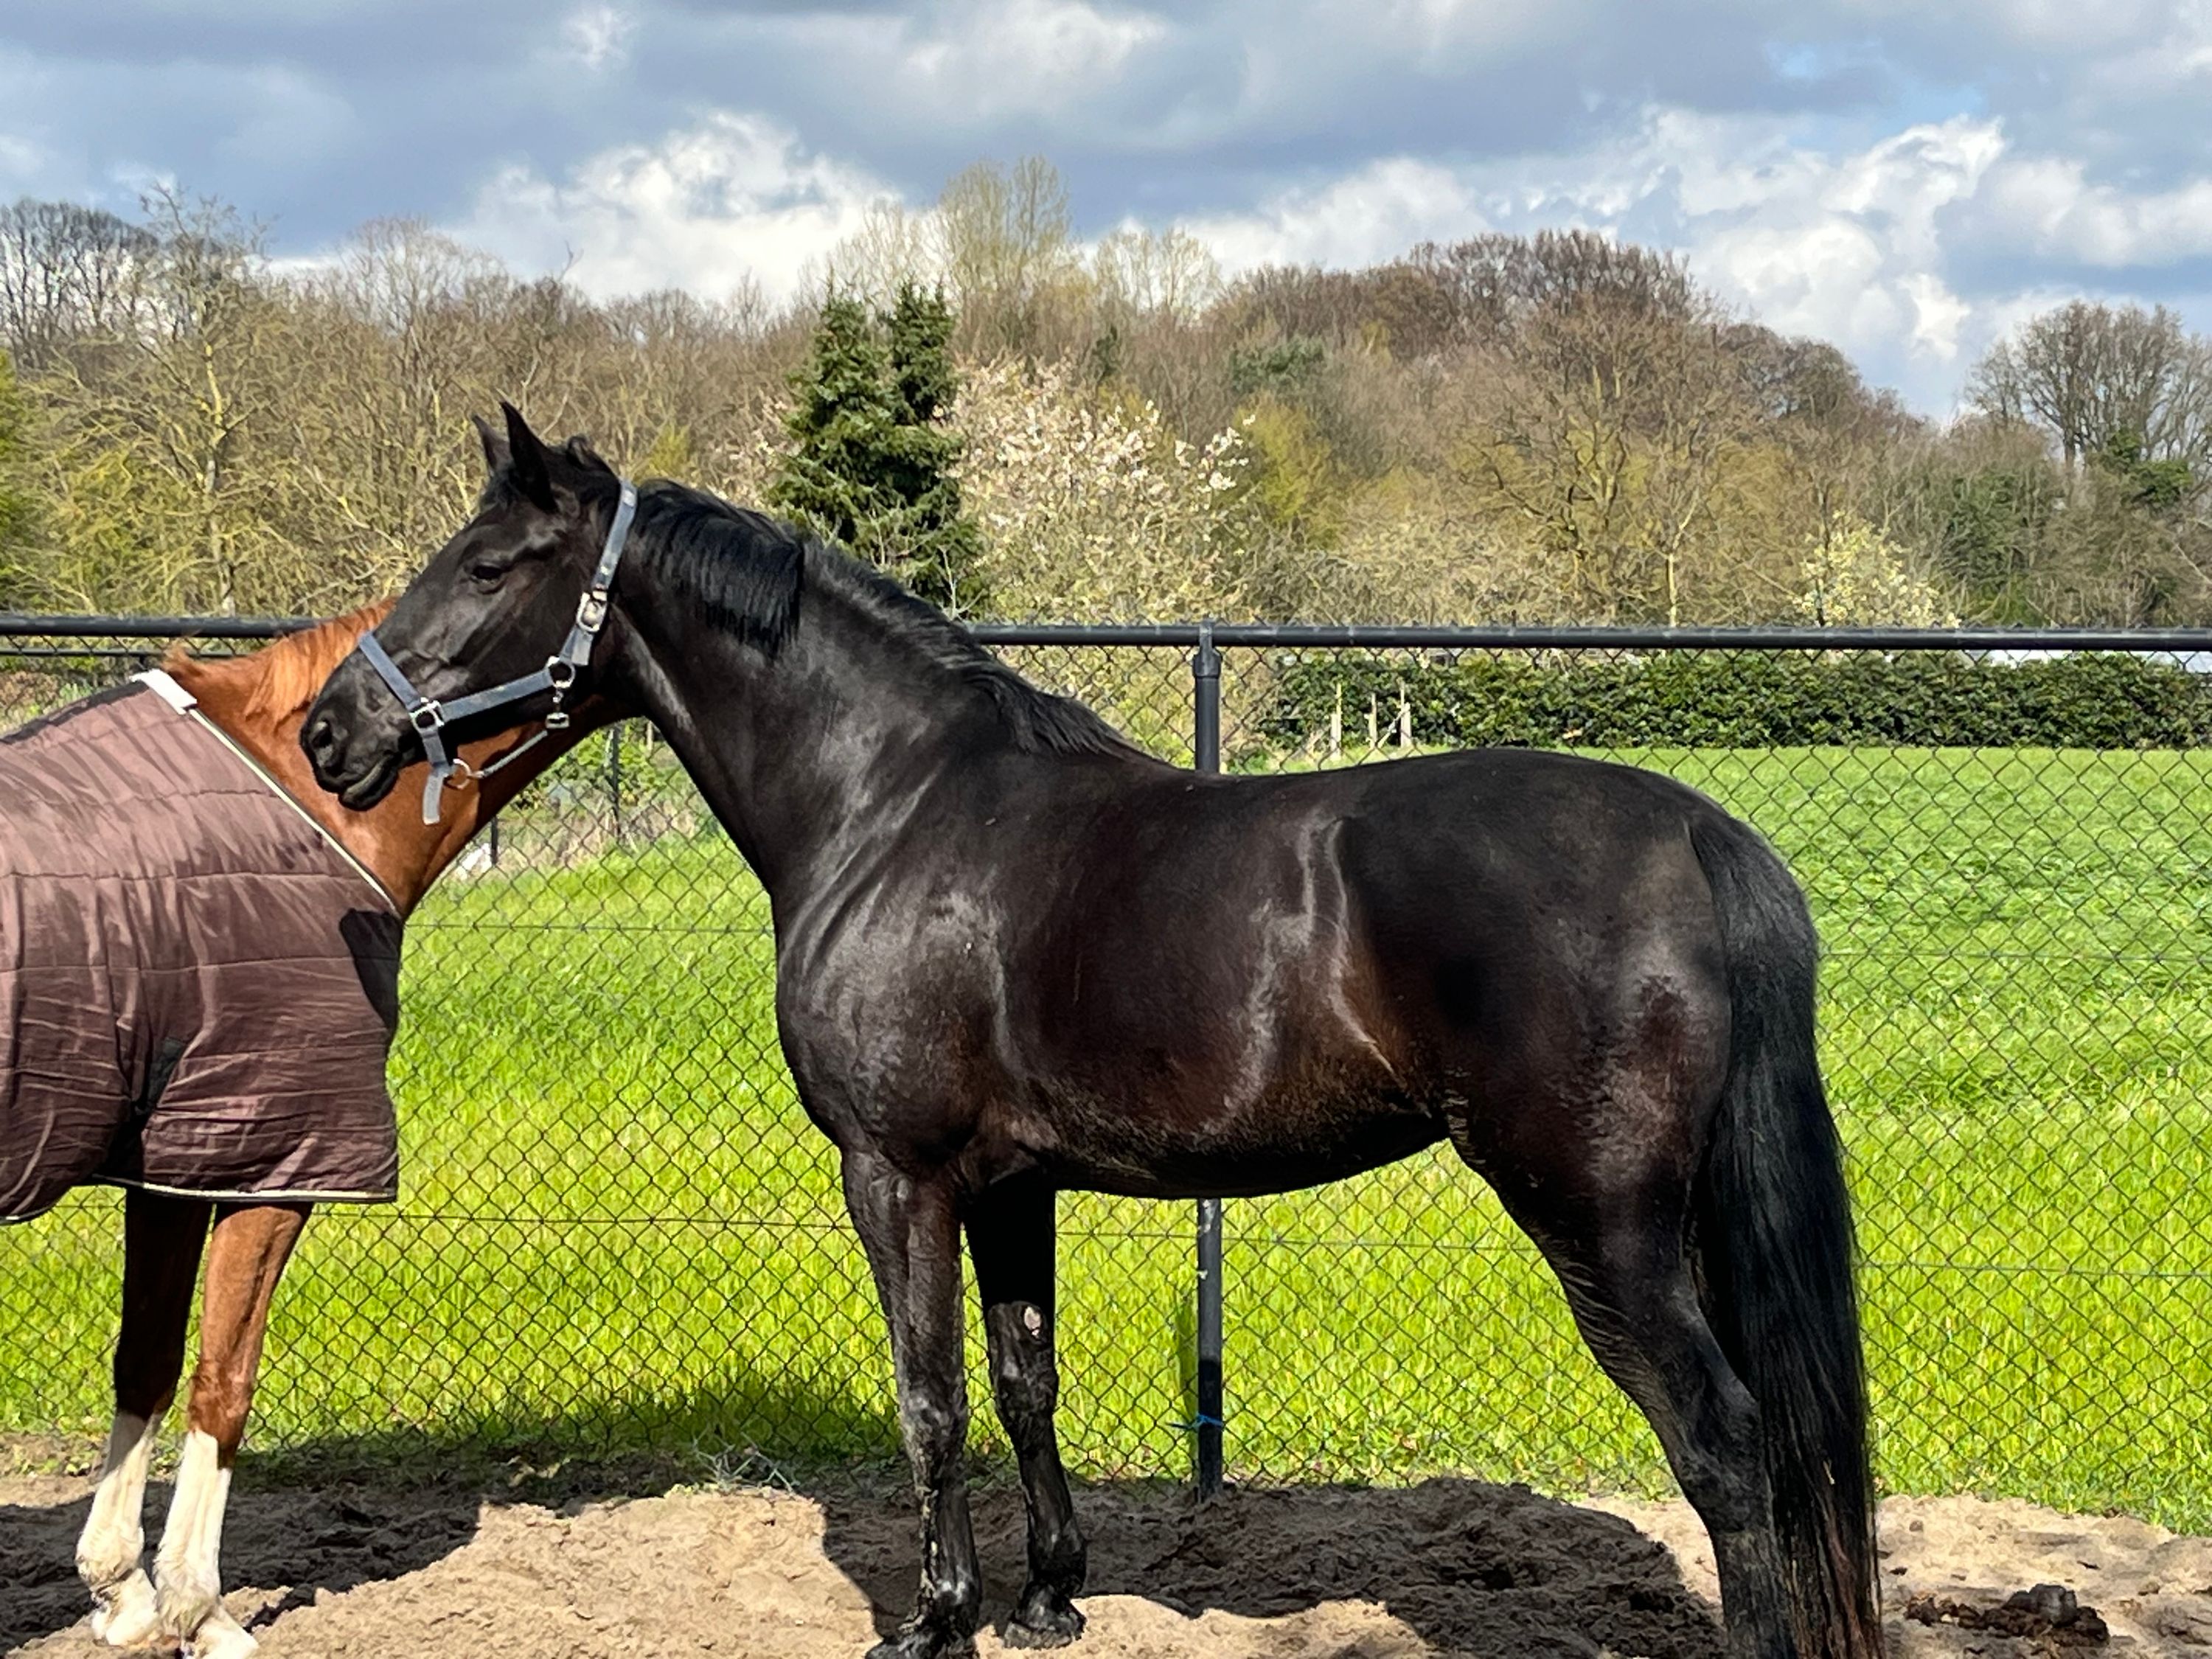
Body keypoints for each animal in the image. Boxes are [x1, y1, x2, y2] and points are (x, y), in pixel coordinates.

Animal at [2, 603, 582, 1659]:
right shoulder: (272, 1162)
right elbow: (223, 1382)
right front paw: (200, 1609)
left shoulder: (179, 1159)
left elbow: (146, 1362)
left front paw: (122, 1591)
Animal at [303, 404, 1882, 1659]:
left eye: (489, 565)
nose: (332, 732)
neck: (891, 805)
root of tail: (1694, 831)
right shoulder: (1011, 1185)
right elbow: (1024, 1377)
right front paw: (1048, 1598)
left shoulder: (897, 1174)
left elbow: (930, 1398)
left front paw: (935, 1621)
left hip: (1603, 1224)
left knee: (1728, 1449)